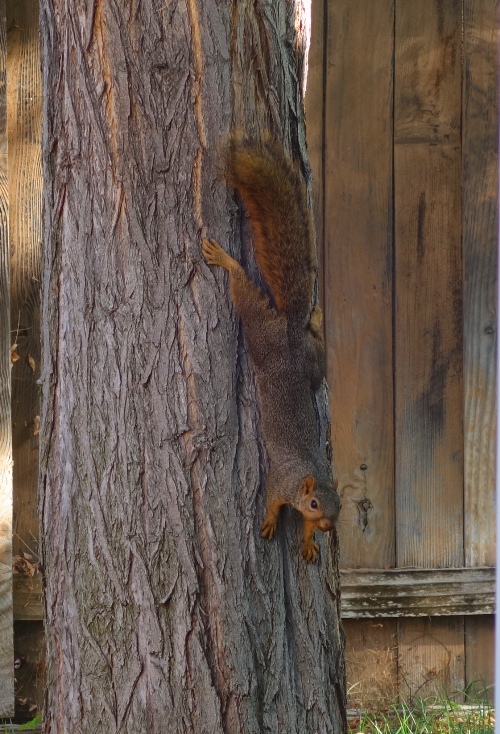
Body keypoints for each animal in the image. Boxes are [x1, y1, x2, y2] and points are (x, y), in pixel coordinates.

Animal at [202, 139, 340, 562]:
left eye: (339, 510)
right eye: (314, 504)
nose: (329, 527)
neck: (307, 479)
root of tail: (291, 335)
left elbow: (305, 532)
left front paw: (310, 542)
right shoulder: (280, 482)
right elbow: (272, 504)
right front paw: (268, 523)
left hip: (311, 362)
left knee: (318, 358)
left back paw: (316, 315)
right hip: (264, 337)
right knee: (246, 296)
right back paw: (226, 261)